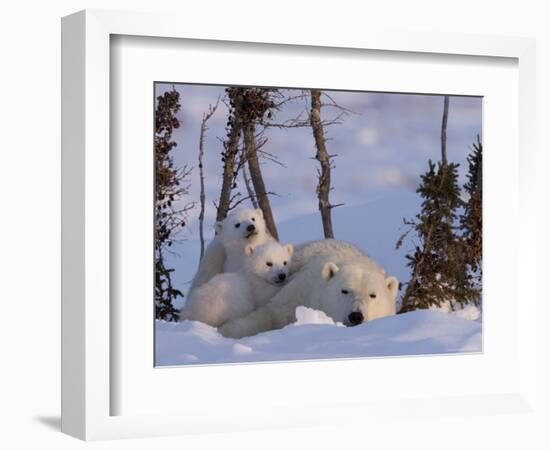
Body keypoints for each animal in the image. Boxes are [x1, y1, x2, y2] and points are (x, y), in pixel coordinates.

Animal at [220, 239, 402, 338]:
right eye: (344, 291)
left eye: (373, 295)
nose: (356, 316)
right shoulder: (300, 291)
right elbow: (268, 314)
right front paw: (227, 330)